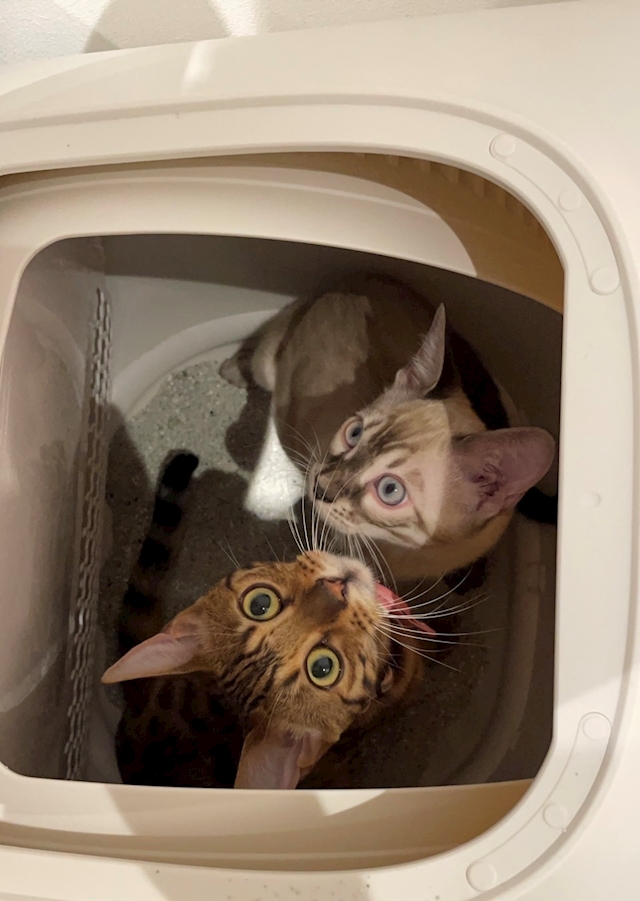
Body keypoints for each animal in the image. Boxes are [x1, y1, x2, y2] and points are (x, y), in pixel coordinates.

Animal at [220, 274, 556, 582]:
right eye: (354, 434)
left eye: (390, 490)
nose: (319, 488)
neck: (404, 553)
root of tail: (359, 278)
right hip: (271, 362)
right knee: (260, 349)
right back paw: (232, 369)